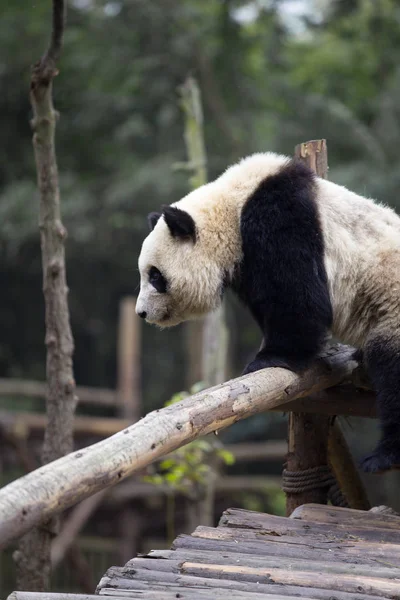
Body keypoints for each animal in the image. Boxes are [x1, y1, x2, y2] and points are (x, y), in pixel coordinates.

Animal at [137, 154, 400, 474]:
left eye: (155, 276)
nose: (141, 312)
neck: (233, 204)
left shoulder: (280, 216)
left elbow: (300, 296)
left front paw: (271, 358)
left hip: (392, 306)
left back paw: (384, 457)